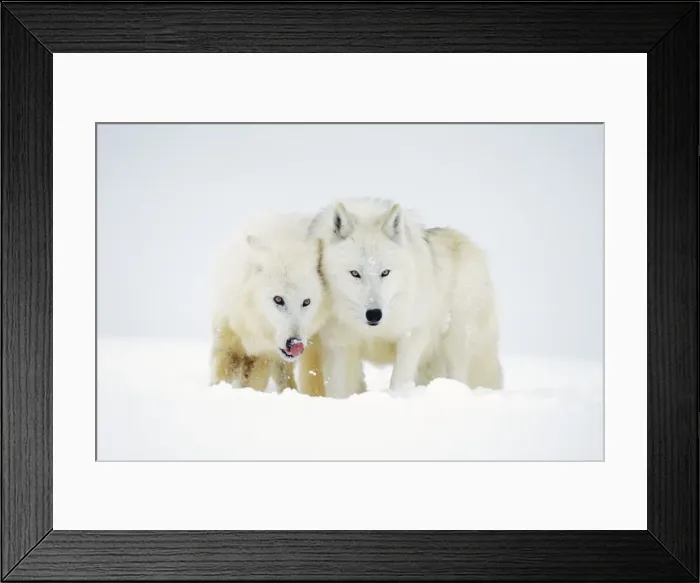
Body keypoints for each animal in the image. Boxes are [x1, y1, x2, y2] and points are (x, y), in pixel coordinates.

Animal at [210, 213, 327, 396]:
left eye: (306, 302)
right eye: (278, 299)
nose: (295, 343)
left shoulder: (263, 357)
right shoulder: (227, 338)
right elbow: (221, 374)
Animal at [307, 198, 502, 398]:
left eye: (385, 272)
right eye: (355, 273)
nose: (374, 314)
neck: (374, 331)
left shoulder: (411, 337)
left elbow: (398, 381)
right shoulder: (339, 346)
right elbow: (339, 390)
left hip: (455, 345)